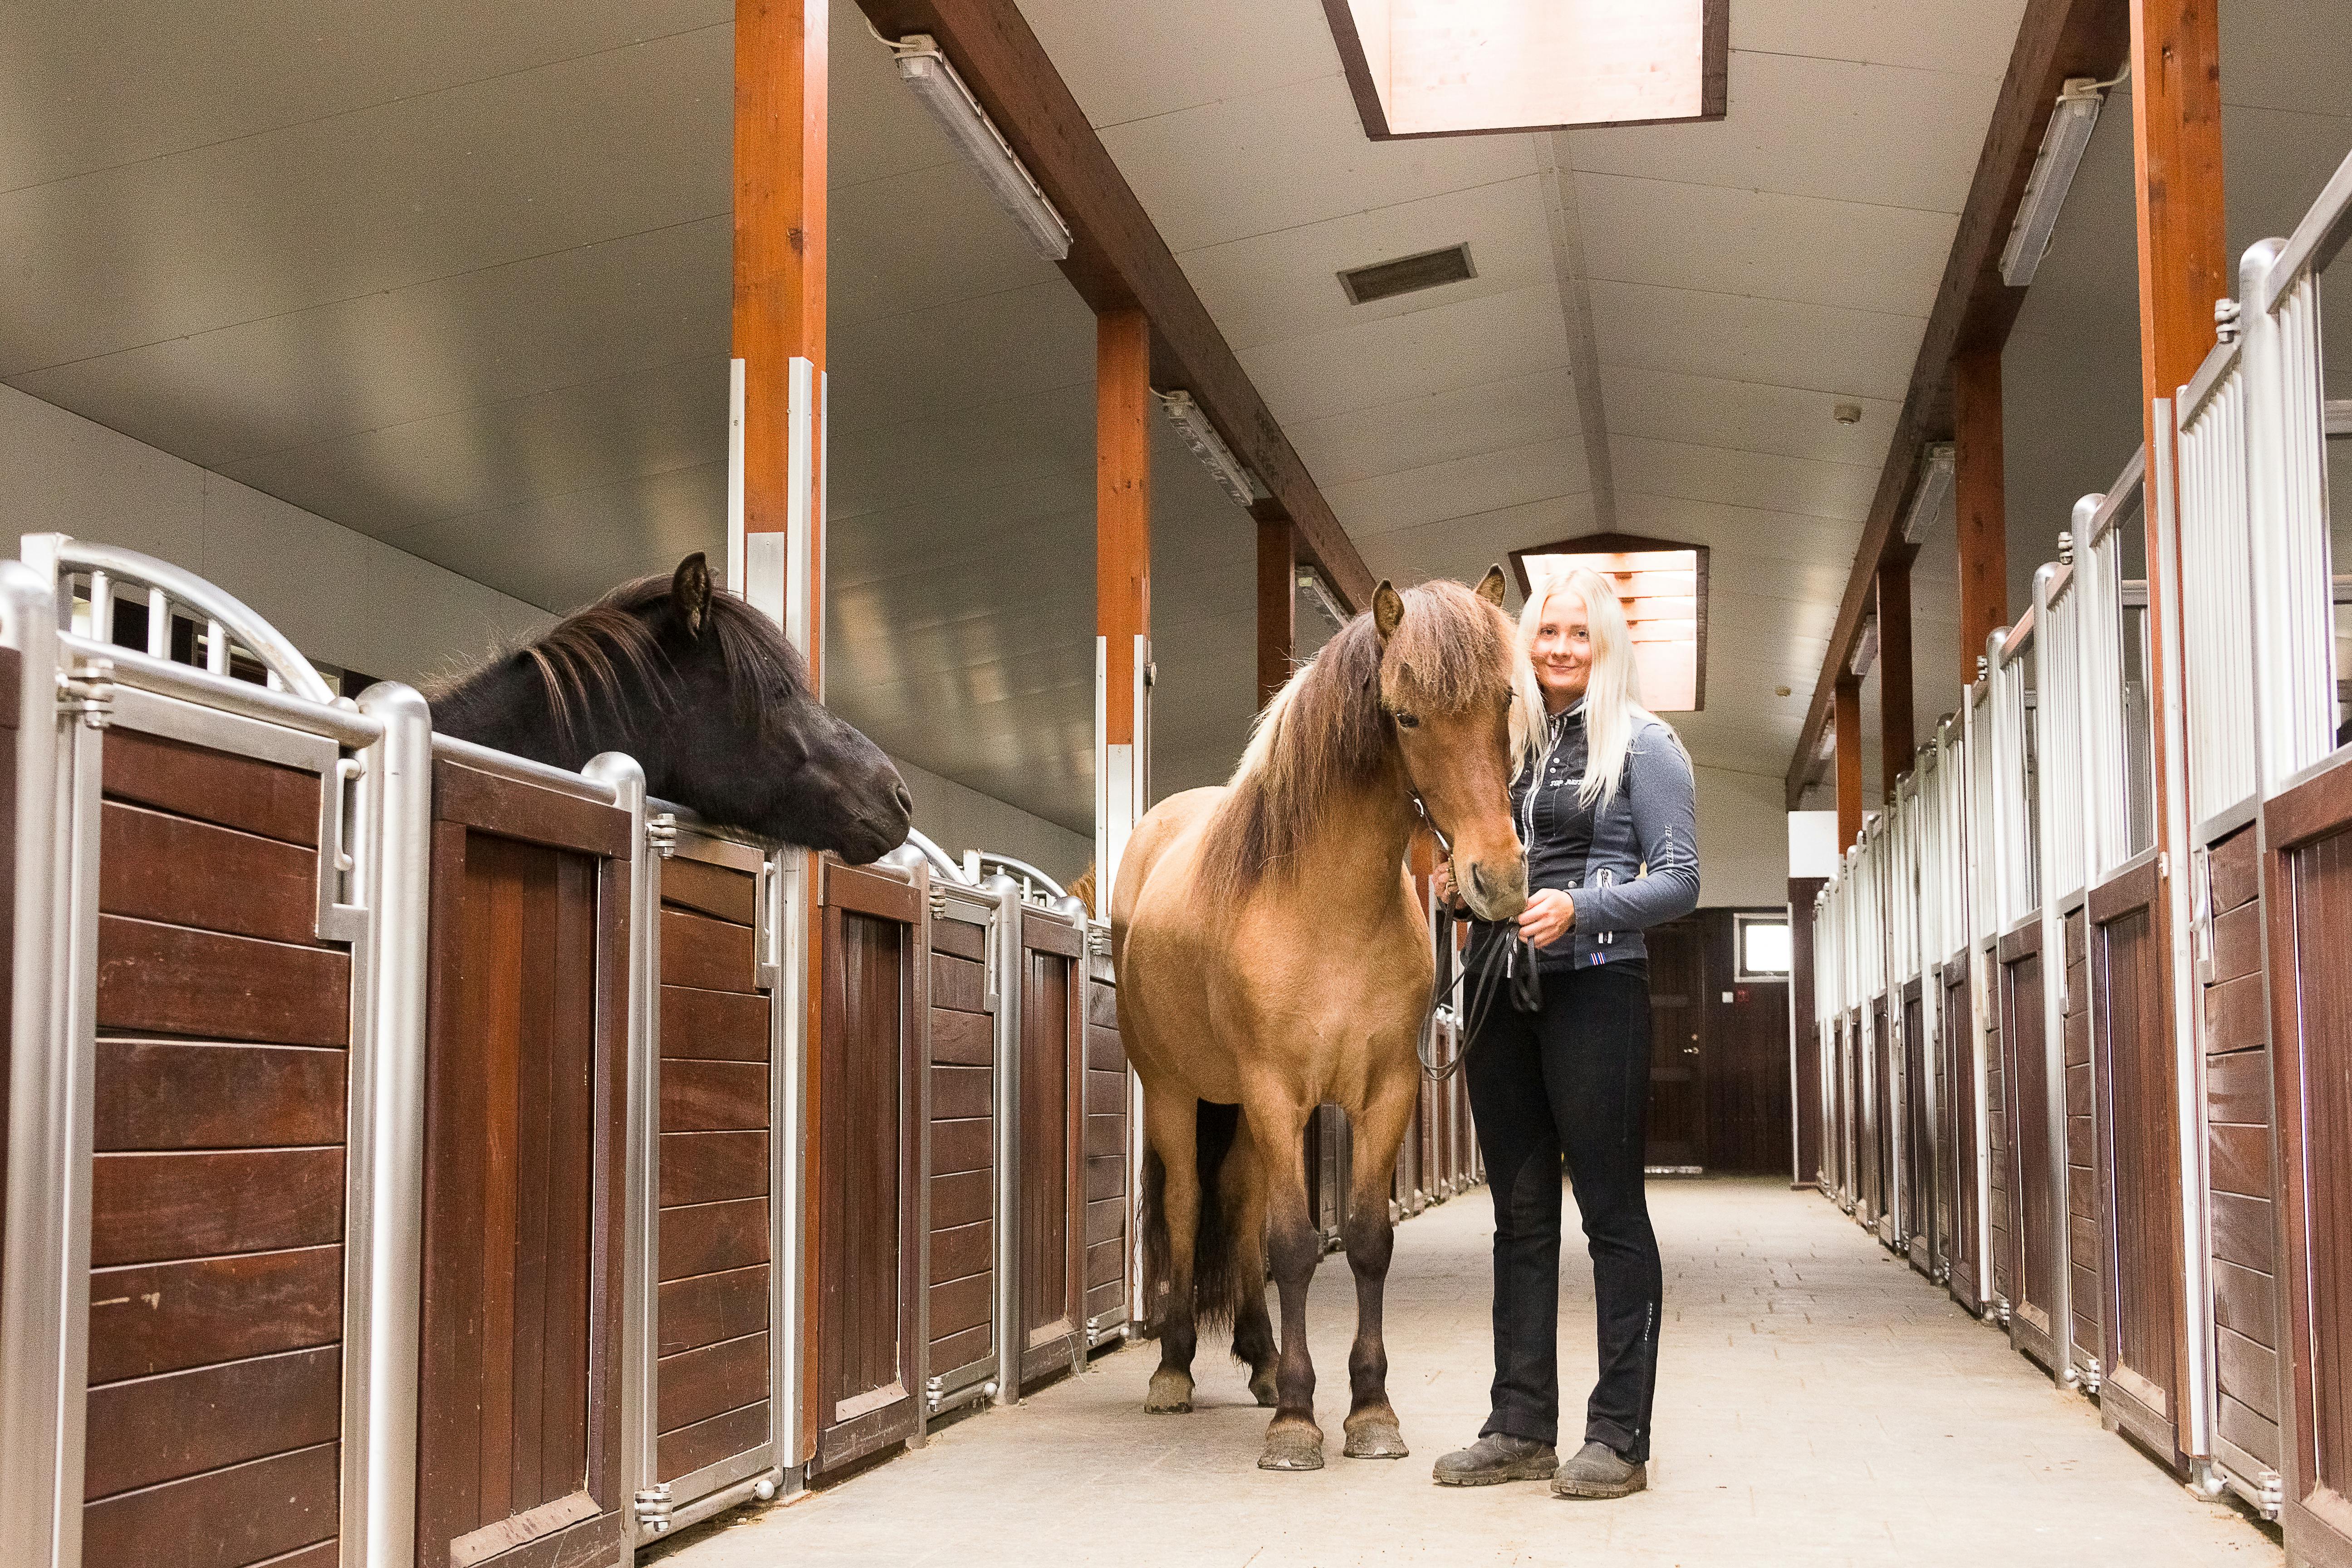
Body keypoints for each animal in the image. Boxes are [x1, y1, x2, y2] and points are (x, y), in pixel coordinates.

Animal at [1110, 566, 1533, 1476]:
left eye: (1503, 701)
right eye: (1406, 715)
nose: (1498, 879)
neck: (1325, 911)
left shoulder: (1384, 1092)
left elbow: (1364, 1239)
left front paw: (1369, 1412)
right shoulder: (1277, 1093)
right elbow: (1296, 1245)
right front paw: (1298, 1425)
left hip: (1236, 1109)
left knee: (1237, 1210)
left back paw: (1262, 1359)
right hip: (1175, 1094)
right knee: (1190, 1208)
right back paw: (1173, 1369)